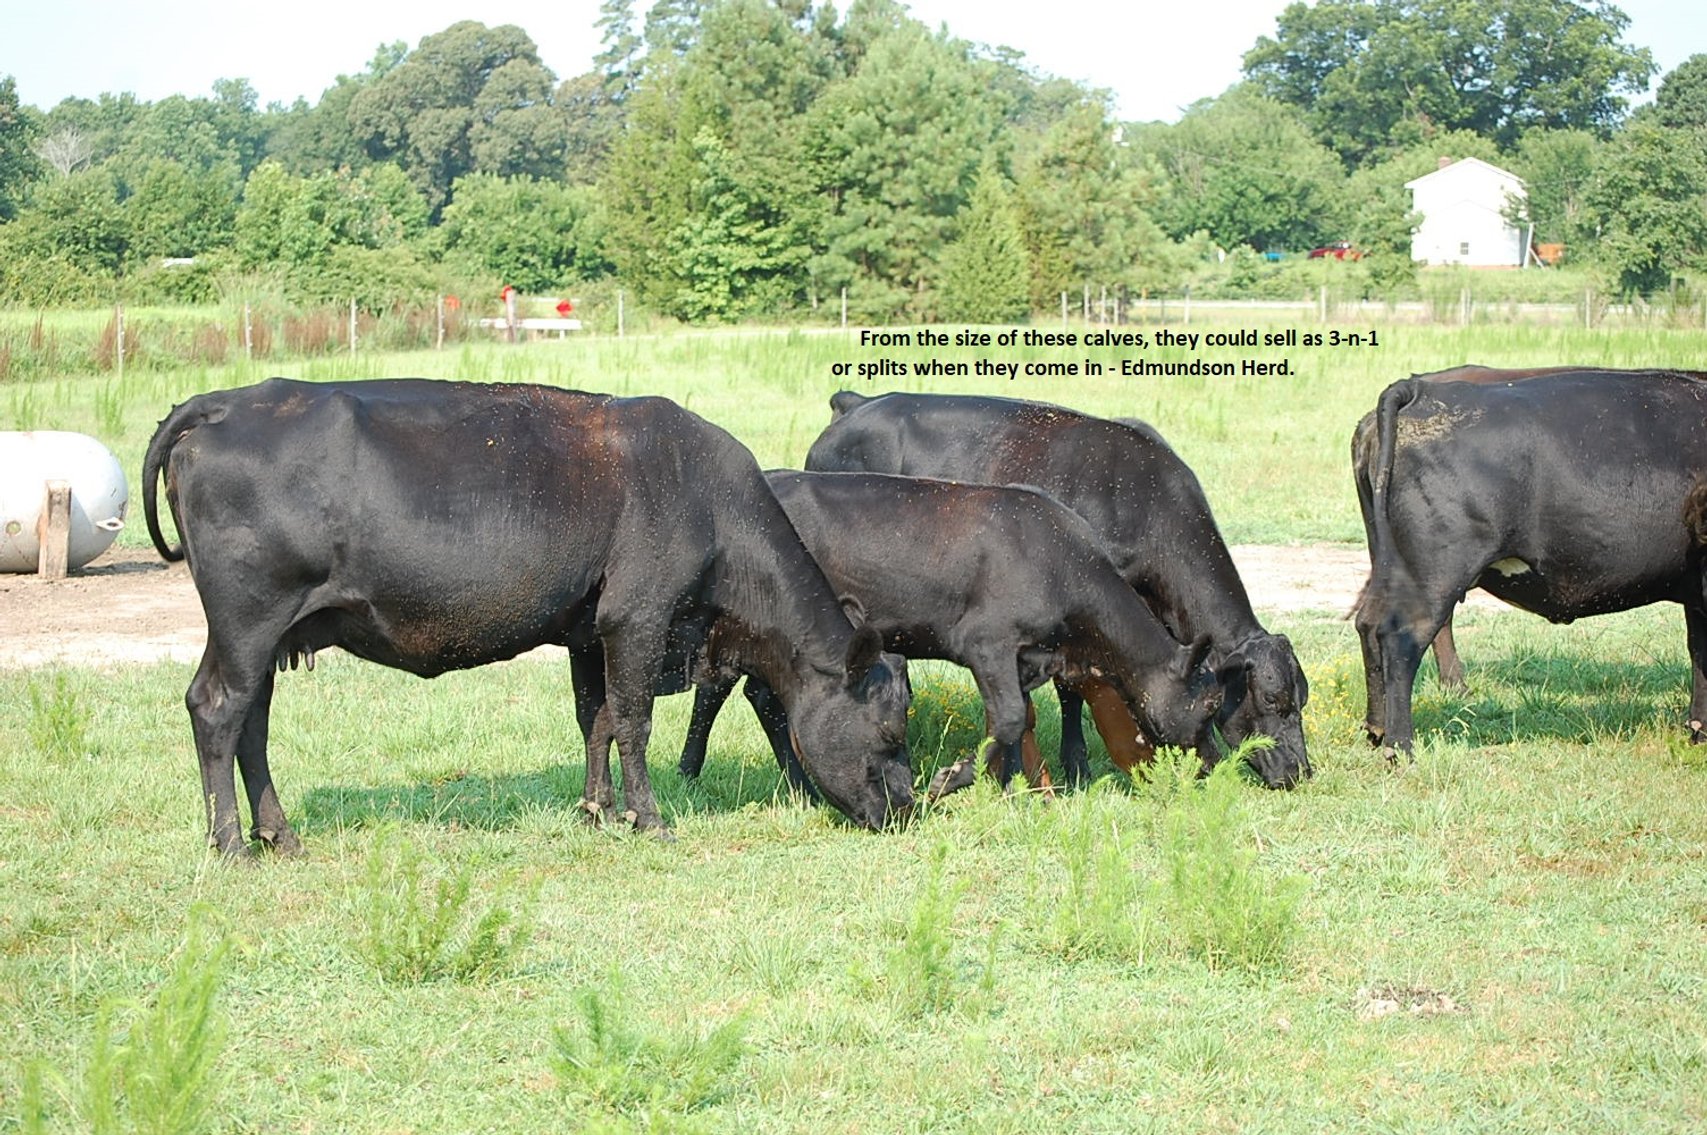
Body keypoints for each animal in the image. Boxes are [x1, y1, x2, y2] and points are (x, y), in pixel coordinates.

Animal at [142, 378, 913, 855]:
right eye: (889, 730)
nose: (908, 811)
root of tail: (224, 402)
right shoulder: (639, 614)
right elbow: (633, 721)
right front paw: (649, 818)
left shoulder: (587, 628)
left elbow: (596, 719)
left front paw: (597, 810)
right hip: (249, 619)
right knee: (218, 709)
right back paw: (231, 844)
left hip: (265, 632)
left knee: (252, 722)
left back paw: (280, 835)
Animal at [676, 471, 1231, 798]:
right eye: (1209, 707)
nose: (1215, 763)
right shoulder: (987, 643)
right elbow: (1008, 719)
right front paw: (958, 780)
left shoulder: (1026, 660)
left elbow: (1021, 723)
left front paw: (1018, 788)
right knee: (727, 688)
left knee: (755, 693)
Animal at [804, 391, 1310, 789]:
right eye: (1271, 699)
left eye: (1301, 699)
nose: (1301, 771)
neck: (1144, 502)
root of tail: (857, 402)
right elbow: (1071, 689)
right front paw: (1075, 766)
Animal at [1351, 365, 1707, 754]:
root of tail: (1420, 390)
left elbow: (1698, 651)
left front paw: (1698, 730)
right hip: (1435, 572)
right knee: (1403, 635)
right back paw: (1401, 745)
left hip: (1390, 563)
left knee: (1369, 624)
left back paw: (1377, 729)